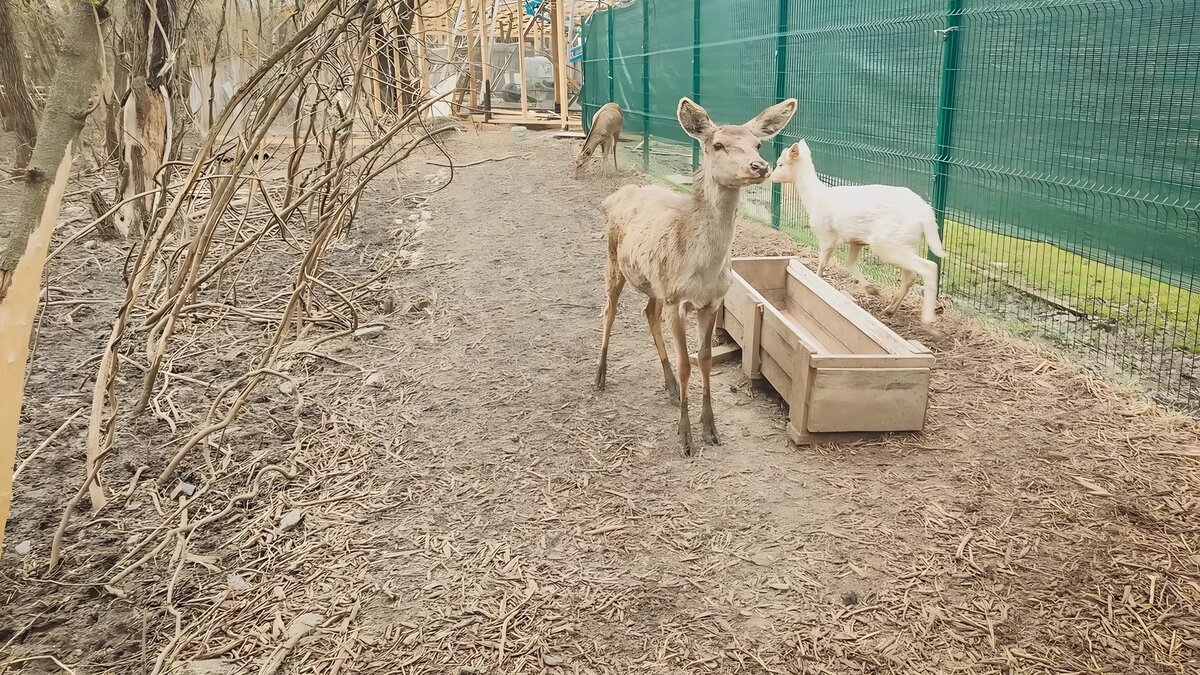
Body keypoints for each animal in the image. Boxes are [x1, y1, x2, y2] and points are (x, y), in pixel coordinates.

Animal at [592, 96, 796, 451]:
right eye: (718, 144)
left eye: (758, 143)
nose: (759, 166)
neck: (702, 268)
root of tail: (617, 195)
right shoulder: (677, 301)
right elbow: (686, 362)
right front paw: (685, 436)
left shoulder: (711, 300)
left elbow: (704, 359)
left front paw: (711, 429)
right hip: (614, 262)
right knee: (609, 310)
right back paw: (600, 376)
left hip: (655, 285)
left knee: (648, 312)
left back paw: (670, 386)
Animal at [768, 138, 945, 321]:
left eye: (780, 164)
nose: (770, 176)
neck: (814, 200)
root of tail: (927, 214)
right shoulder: (856, 241)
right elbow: (850, 262)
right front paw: (872, 289)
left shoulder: (826, 235)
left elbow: (822, 263)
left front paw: (816, 282)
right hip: (908, 243)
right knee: (910, 275)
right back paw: (889, 309)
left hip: (888, 243)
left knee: (929, 267)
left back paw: (928, 320)